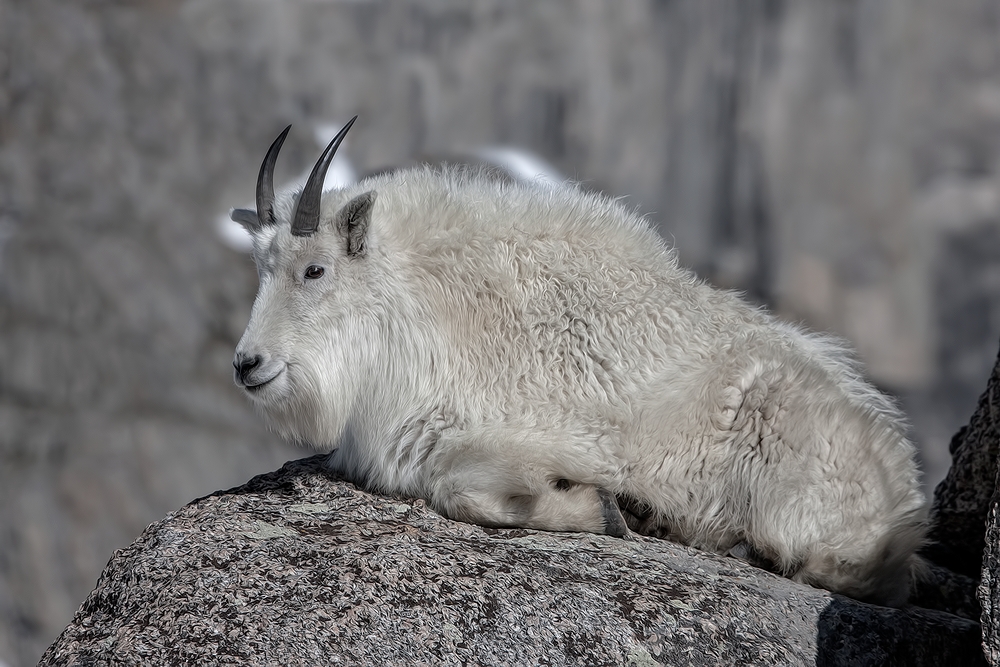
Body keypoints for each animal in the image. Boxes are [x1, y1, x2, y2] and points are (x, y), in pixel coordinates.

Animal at [230, 118, 924, 604]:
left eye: (314, 269)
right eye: (260, 267)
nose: (247, 364)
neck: (421, 309)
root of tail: (902, 492)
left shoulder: (543, 436)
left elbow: (464, 490)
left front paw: (600, 509)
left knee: (835, 568)